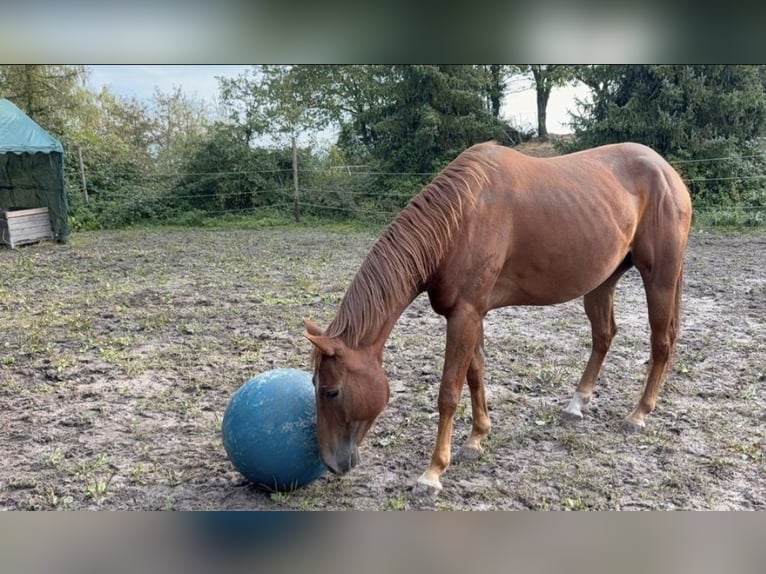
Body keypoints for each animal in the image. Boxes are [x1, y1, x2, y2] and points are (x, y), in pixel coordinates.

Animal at [303, 141, 692, 497]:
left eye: (331, 391)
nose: (330, 462)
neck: (462, 218)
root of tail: (667, 172)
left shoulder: (464, 315)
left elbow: (449, 391)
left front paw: (433, 472)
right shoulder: (472, 313)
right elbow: (475, 374)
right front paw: (477, 439)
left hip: (659, 278)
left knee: (661, 343)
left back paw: (639, 414)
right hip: (602, 282)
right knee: (604, 335)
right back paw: (576, 404)